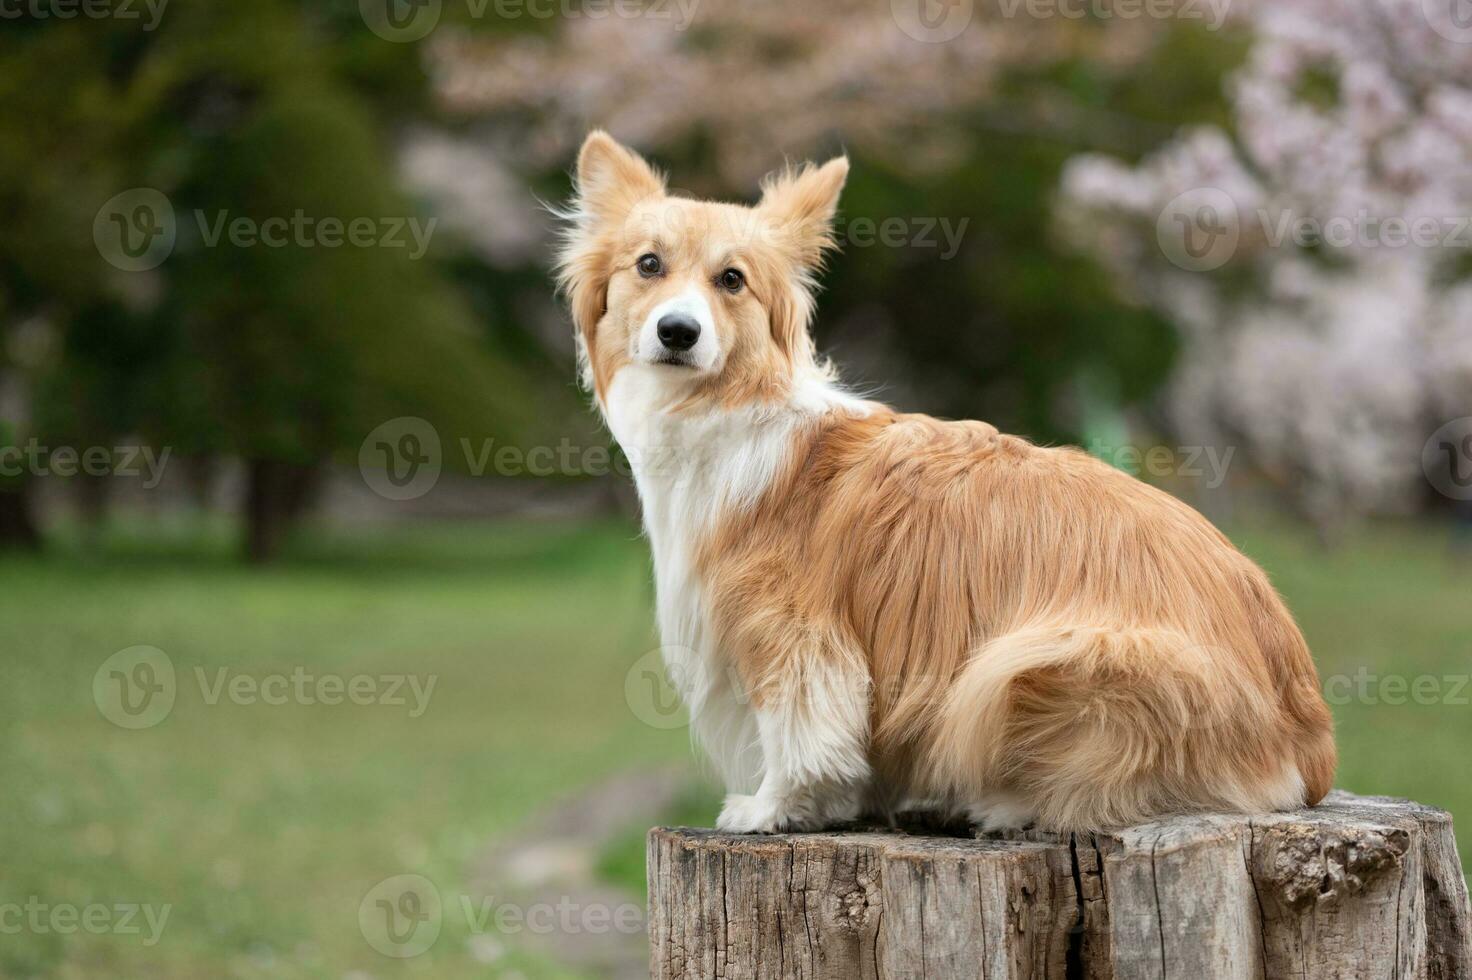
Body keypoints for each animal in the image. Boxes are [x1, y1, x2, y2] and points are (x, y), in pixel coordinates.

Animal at [553, 129, 1336, 829]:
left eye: (732, 280)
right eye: (648, 265)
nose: (678, 331)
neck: (726, 405)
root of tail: (1312, 750)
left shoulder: (791, 632)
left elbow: (801, 734)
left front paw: (772, 809)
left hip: (1035, 660)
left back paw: (1000, 805)